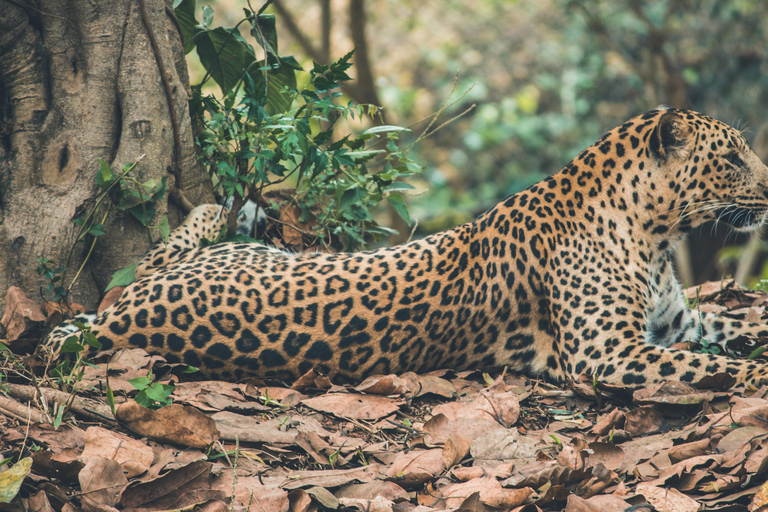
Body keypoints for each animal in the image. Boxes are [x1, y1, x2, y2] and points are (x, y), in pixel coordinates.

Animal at [45, 109, 768, 388]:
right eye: (734, 156)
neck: (658, 236)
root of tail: (121, 325)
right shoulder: (606, 354)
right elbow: (708, 366)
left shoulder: (678, 322)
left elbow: (735, 328)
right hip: (222, 263)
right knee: (146, 262)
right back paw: (216, 205)